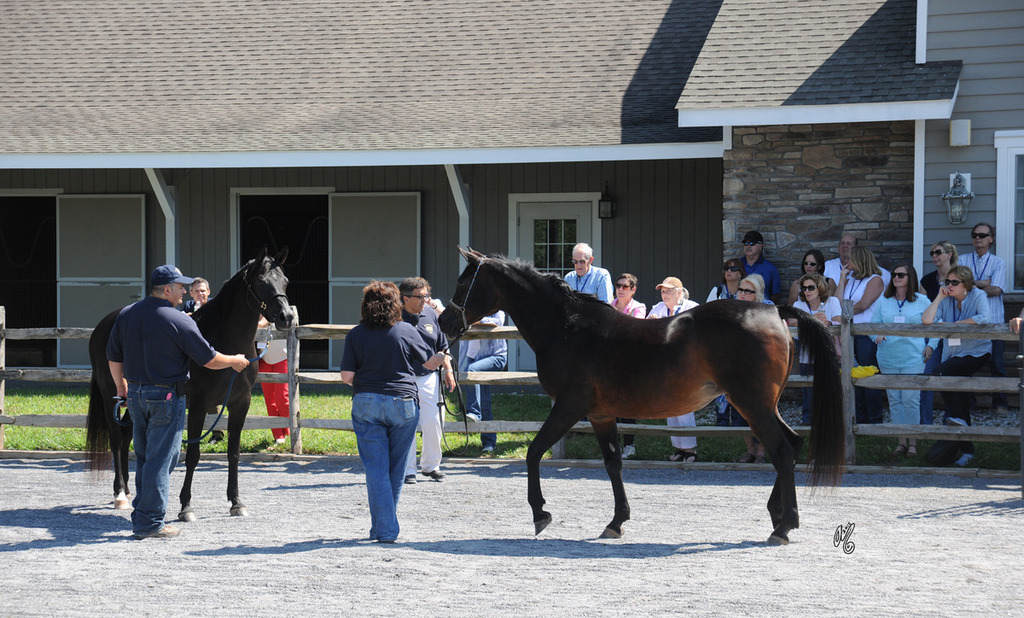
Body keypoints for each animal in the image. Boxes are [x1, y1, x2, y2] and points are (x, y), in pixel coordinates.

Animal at [438, 247, 845, 545]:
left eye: (464, 283)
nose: (443, 322)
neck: (566, 326)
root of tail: (773, 310)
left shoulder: (569, 407)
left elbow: (534, 452)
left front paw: (540, 514)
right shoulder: (601, 415)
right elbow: (613, 464)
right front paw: (616, 522)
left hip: (752, 405)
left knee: (781, 451)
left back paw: (784, 526)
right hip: (762, 406)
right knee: (791, 445)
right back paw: (777, 516)